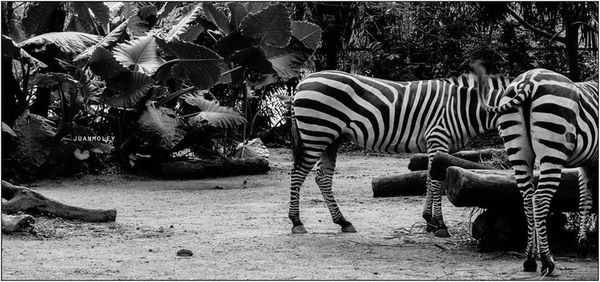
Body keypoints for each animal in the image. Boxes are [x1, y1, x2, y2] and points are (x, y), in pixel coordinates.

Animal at [288, 70, 508, 236]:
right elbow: (437, 182)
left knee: (322, 177)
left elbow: (429, 179)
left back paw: (343, 221)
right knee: (297, 174)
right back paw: (296, 221)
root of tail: (302, 82)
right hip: (317, 134)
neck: (460, 106)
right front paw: (440, 225)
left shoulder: (434, 144)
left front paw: (429, 222)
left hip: (330, 138)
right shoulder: (438, 137)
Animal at [476, 68, 596, 276]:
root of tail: (527, 82)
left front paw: (582, 245)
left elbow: (585, 202)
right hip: (553, 149)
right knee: (539, 199)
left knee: (527, 199)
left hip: (519, 151)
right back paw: (547, 261)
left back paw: (530, 259)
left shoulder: (586, 165)